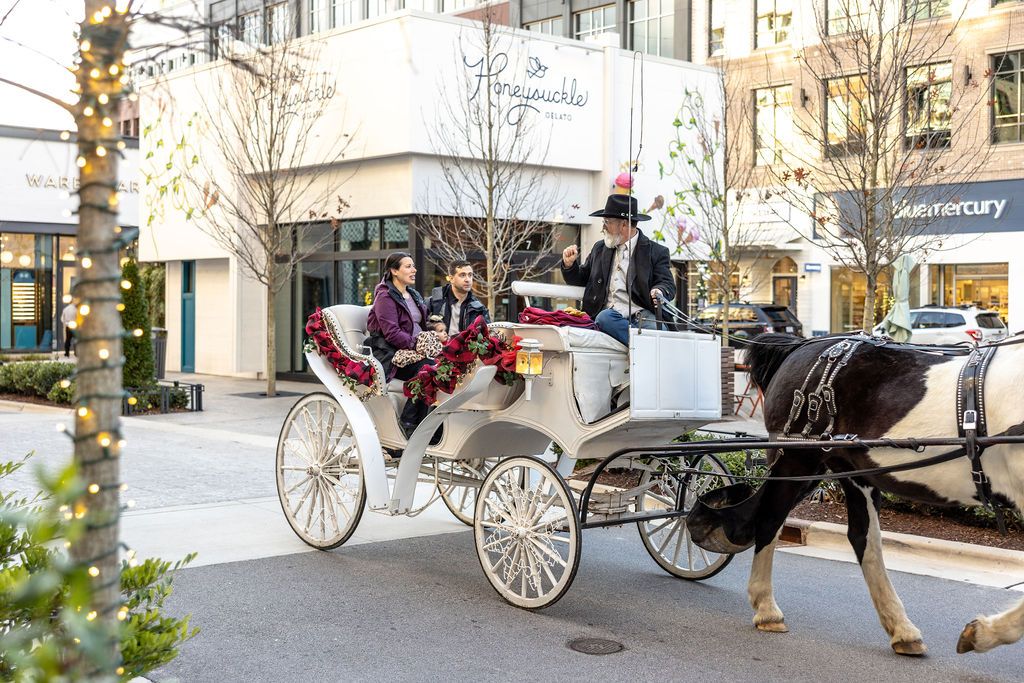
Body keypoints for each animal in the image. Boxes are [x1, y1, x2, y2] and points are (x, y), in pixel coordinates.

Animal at [733, 335, 1019, 655]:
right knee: (770, 519)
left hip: (851, 471)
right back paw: (767, 609)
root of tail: (804, 345)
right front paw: (981, 633)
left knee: (863, 538)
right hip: (795, 462)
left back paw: (902, 629)